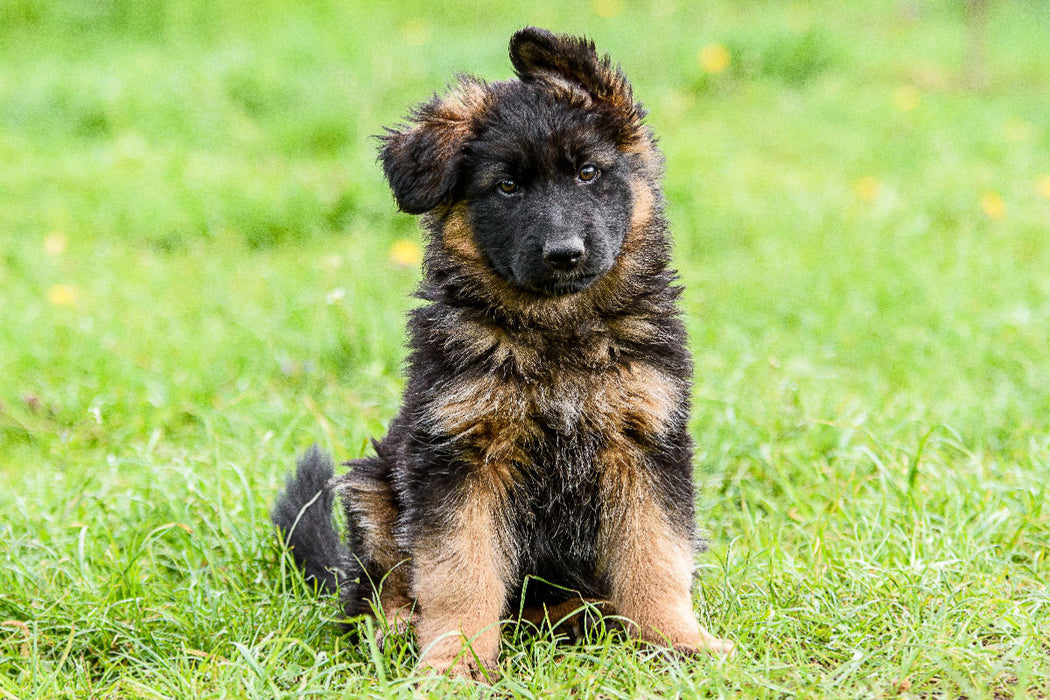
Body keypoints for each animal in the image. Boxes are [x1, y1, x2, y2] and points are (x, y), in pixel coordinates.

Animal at [275, 25, 734, 680]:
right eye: (507, 187)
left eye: (588, 173)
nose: (564, 254)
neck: (556, 332)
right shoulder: (459, 458)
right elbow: (460, 573)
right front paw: (454, 664)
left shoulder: (645, 442)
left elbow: (655, 556)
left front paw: (678, 643)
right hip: (373, 488)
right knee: (373, 590)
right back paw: (397, 630)